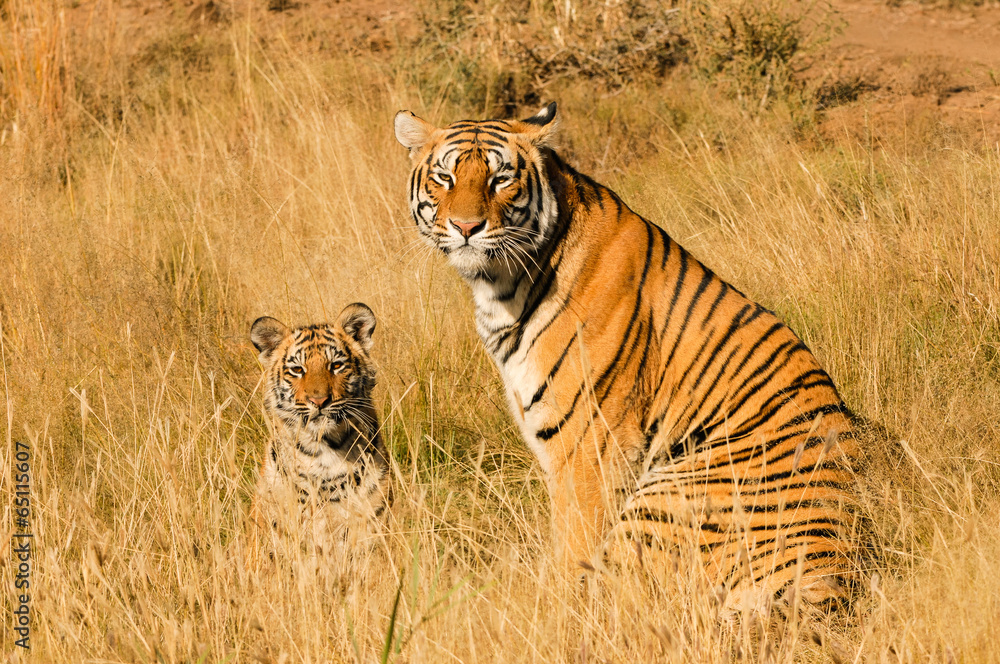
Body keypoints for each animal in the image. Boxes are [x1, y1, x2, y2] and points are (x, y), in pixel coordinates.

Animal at [393, 102, 861, 610]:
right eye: (444, 177)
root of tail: (831, 578)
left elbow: (573, 550)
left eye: (501, 179)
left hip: (672, 492)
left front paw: (553, 609)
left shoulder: (589, 445)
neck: (500, 287)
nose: (466, 228)